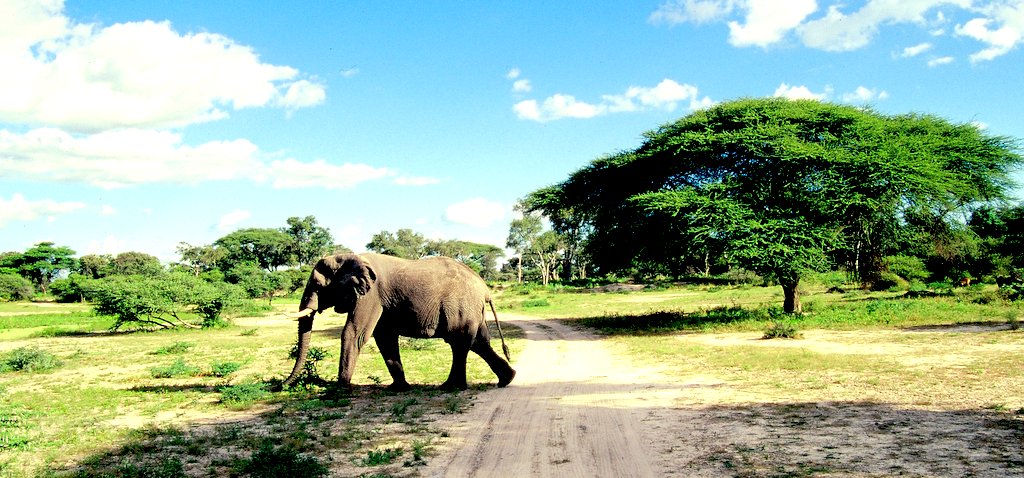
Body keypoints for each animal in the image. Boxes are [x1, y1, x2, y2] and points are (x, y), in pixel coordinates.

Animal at [281, 252, 516, 391]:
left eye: (319, 287)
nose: (279, 386)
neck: (350, 257)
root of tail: (485, 288)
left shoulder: (370, 295)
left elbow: (354, 333)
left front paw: (338, 390)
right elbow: (384, 338)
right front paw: (400, 388)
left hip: (460, 306)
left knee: (459, 342)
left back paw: (450, 387)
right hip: (471, 309)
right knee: (479, 343)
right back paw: (506, 379)